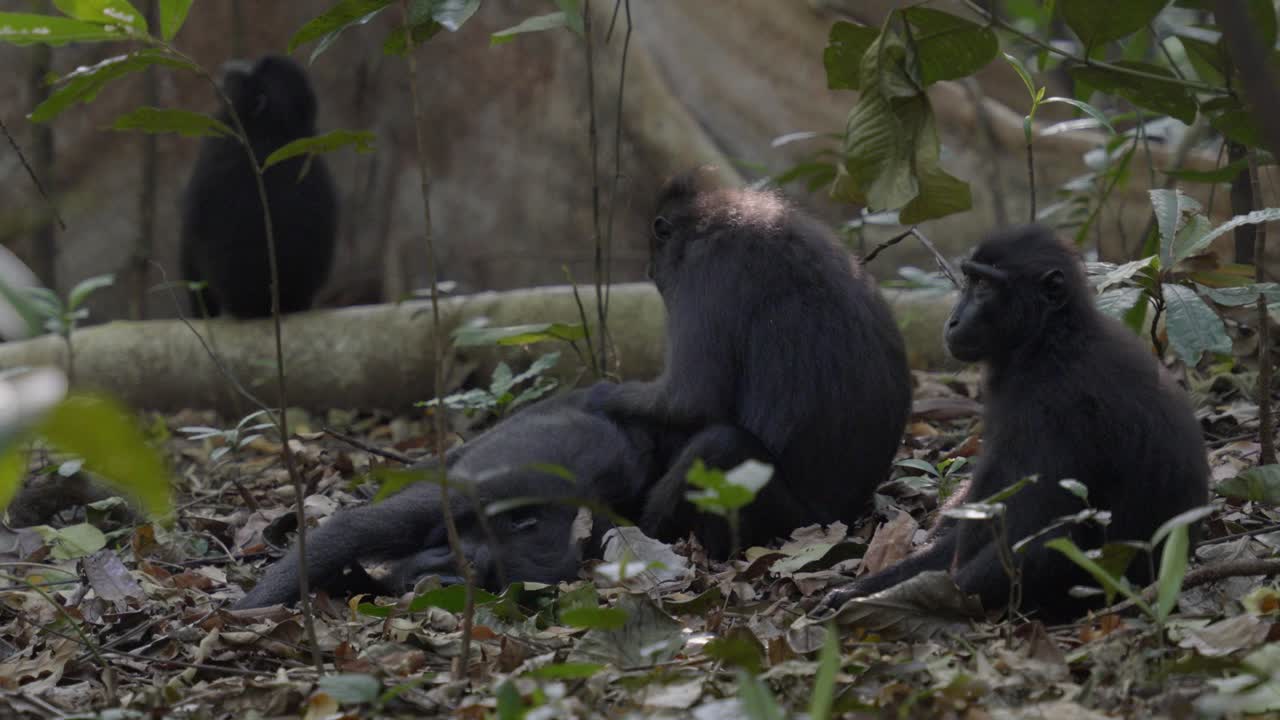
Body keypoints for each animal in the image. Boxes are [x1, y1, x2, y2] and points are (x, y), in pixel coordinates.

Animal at [180, 55, 337, 318]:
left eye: (246, 76)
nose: (230, 65)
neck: (276, 132)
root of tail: (264, 305)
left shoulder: (219, 142)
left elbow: (190, 231)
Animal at [593, 167, 913, 558]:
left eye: (657, 268)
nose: (650, 270)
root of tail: (845, 516)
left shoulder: (706, 271)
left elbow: (691, 399)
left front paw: (595, 397)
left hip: (788, 517)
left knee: (720, 444)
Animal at [817, 224, 1210, 622]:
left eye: (984, 286)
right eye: (969, 279)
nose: (953, 319)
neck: (1049, 340)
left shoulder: (1052, 408)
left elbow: (1028, 537)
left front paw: (879, 600)